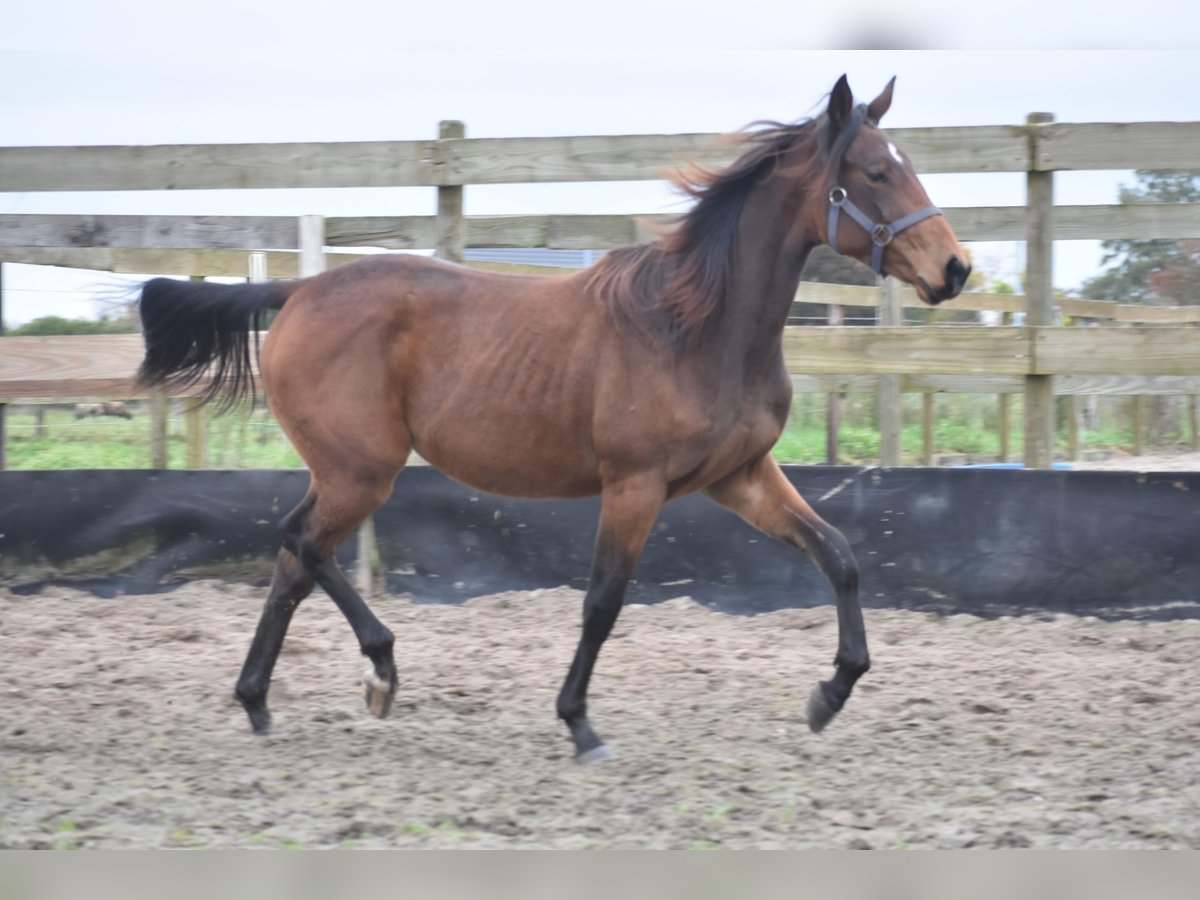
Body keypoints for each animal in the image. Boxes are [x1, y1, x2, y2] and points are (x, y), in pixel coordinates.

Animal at [138, 75, 964, 763]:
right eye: (876, 172)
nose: (954, 269)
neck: (696, 327)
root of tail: (300, 292)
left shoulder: (740, 477)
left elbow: (840, 556)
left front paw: (829, 694)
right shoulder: (634, 485)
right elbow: (602, 603)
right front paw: (579, 724)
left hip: (346, 471)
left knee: (294, 563)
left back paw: (262, 701)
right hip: (361, 471)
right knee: (303, 545)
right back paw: (378, 668)